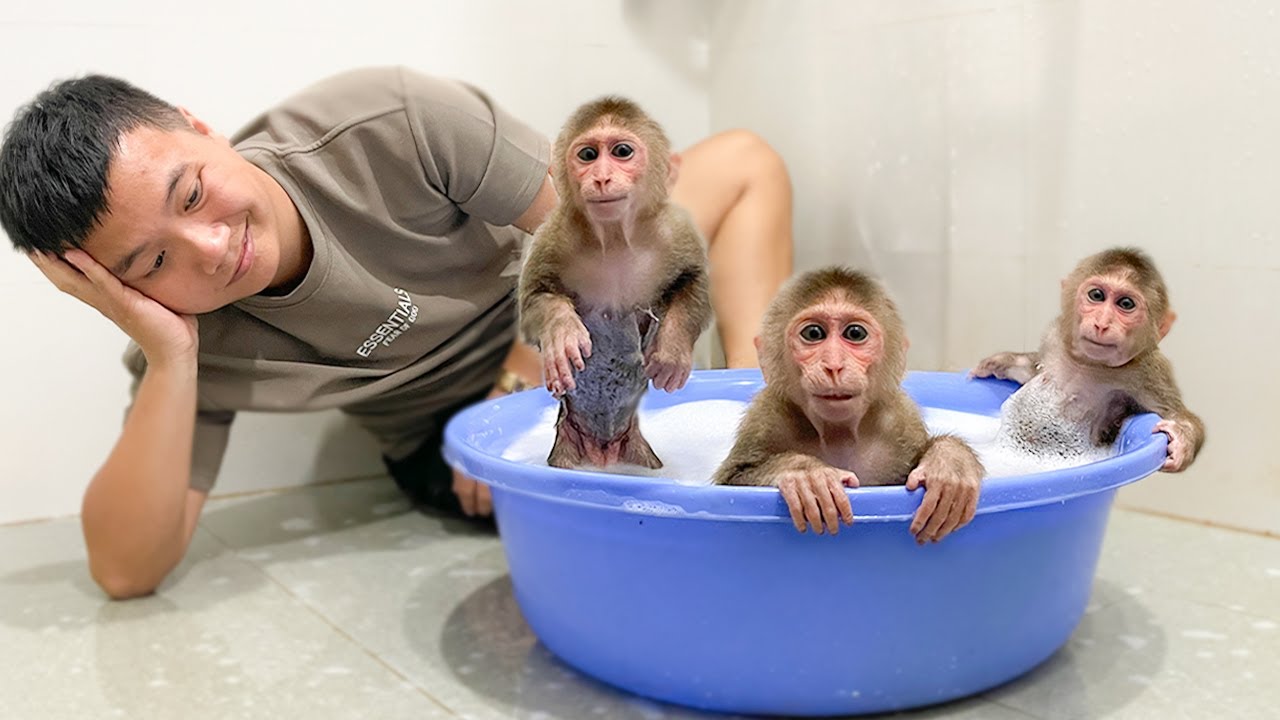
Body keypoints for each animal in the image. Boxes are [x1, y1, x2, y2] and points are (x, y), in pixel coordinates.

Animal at [518, 97, 712, 470]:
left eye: (622, 152)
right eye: (588, 155)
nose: (602, 177)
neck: (615, 238)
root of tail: (603, 451)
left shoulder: (674, 230)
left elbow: (692, 282)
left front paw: (672, 348)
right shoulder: (554, 234)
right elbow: (536, 295)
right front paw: (561, 331)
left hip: (634, 447)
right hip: (568, 445)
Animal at [713, 267, 983, 544]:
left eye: (855, 333)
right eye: (813, 333)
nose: (833, 366)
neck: (838, 434)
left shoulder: (901, 420)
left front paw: (949, 463)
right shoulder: (766, 417)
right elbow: (733, 479)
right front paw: (805, 474)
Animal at [971, 247, 1204, 472]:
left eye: (1126, 303)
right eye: (1097, 295)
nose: (1101, 323)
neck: (1086, 364)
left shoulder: (1148, 372)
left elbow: (1174, 412)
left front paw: (1182, 439)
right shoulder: (1055, 337)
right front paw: (1004, 362)